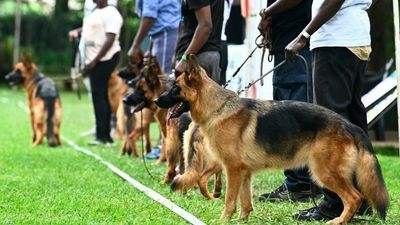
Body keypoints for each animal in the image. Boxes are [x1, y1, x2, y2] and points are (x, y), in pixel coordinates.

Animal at [122, 55, 191, 183]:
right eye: (136, 87)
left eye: (140, 90)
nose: (124, 100)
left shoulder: (167, 135)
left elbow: (165, 152)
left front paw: (160, 164)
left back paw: (165, 181)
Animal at [155, 55, 390, 225]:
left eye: (175, 89)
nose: (156, 101)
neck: (218, 108)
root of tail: (350, 125)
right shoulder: (244, 172)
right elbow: (245, 201)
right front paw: (242, 220)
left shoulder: (232, 169)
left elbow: (230, 200)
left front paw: (223, 220)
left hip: (324, 172)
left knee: (354, 197)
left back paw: (339, 220)